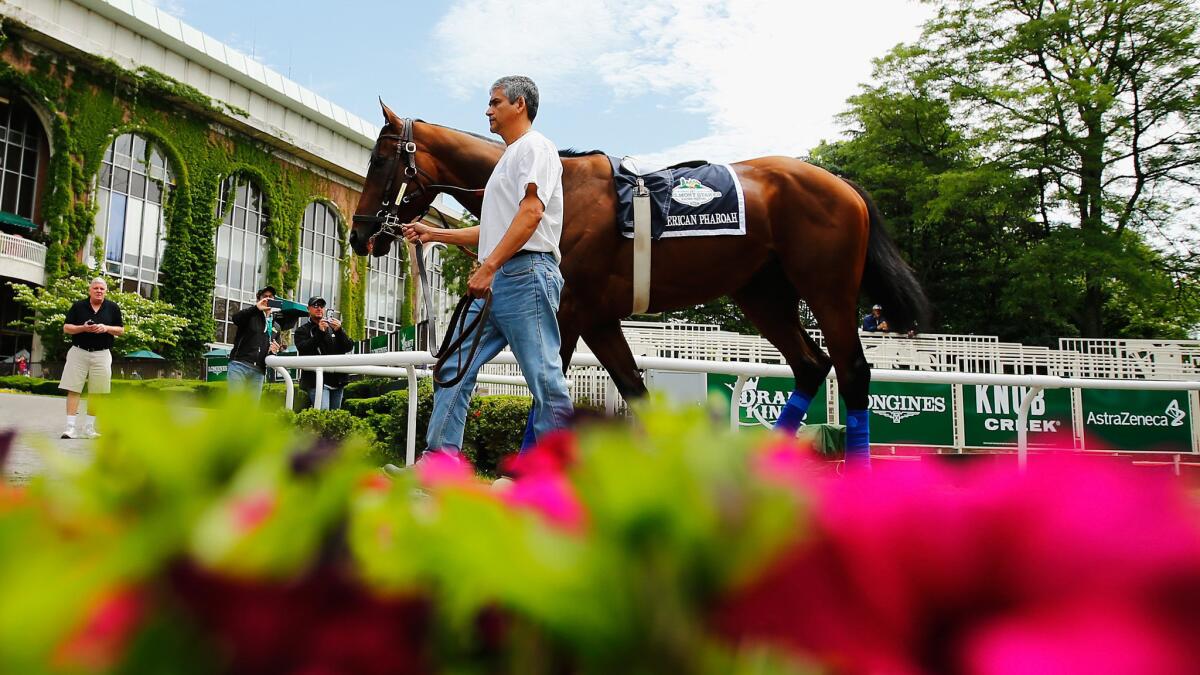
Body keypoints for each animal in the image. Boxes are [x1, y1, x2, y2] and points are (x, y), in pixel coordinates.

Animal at [348, 102, 926, 461]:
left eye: (379, 159)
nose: (359, 235)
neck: (560, 192)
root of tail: (841, 182)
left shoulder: (563, 312)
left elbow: (546, 394)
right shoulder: (598, 317)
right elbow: (634, 391)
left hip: (828, 289)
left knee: (852, 371)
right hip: (761, 293)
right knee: (810, 366)